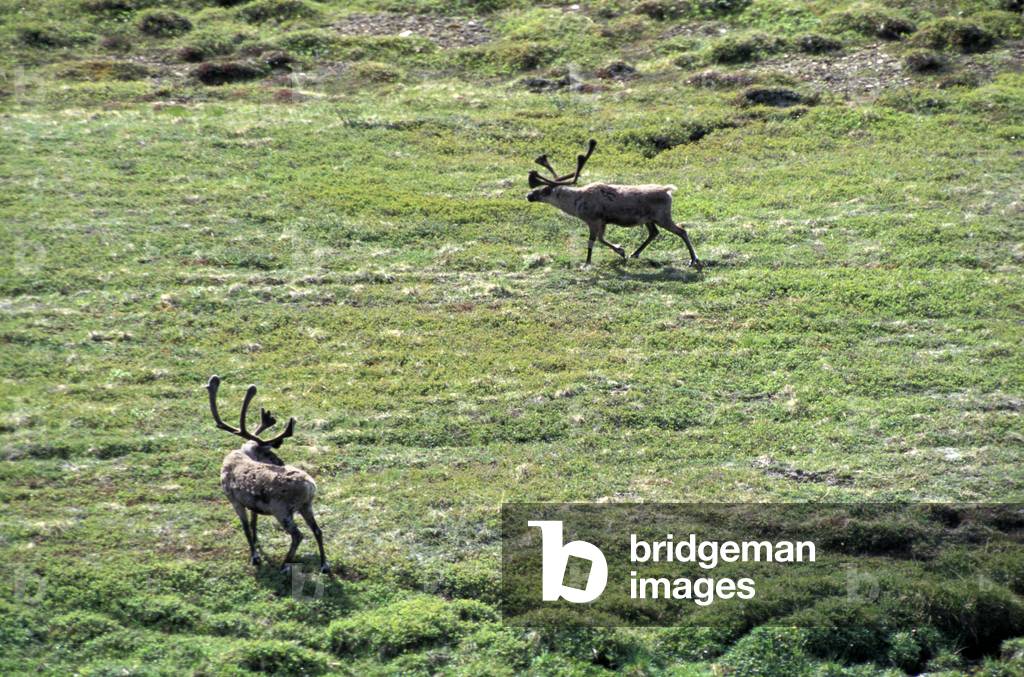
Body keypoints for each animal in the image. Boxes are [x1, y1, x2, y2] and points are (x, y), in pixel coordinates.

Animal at [206, 375, 330, 575]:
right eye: (269, 453)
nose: (280, 462)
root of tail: (311, 485)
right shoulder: (253, 504)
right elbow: (254, 523)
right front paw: (257, 544)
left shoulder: (234, 500)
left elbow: (246, 528)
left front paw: (255, 557)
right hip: (306, 506)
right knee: (317, 530)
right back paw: (324, 564)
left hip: (282, 511)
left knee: (298, 535)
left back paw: (285, 565)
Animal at [526, 139, 701, 269]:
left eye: (545, 190)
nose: (529, 195)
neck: (576, 202)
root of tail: (668, 190)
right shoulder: (603, 221)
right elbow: (601, 239)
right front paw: (621, 251)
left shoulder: (593, 220)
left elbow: (592, 241)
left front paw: (587, 263)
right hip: (649, 219)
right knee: (654, 233)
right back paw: (635, 254)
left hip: (662, 217)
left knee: (681, 231)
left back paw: (693, 260)